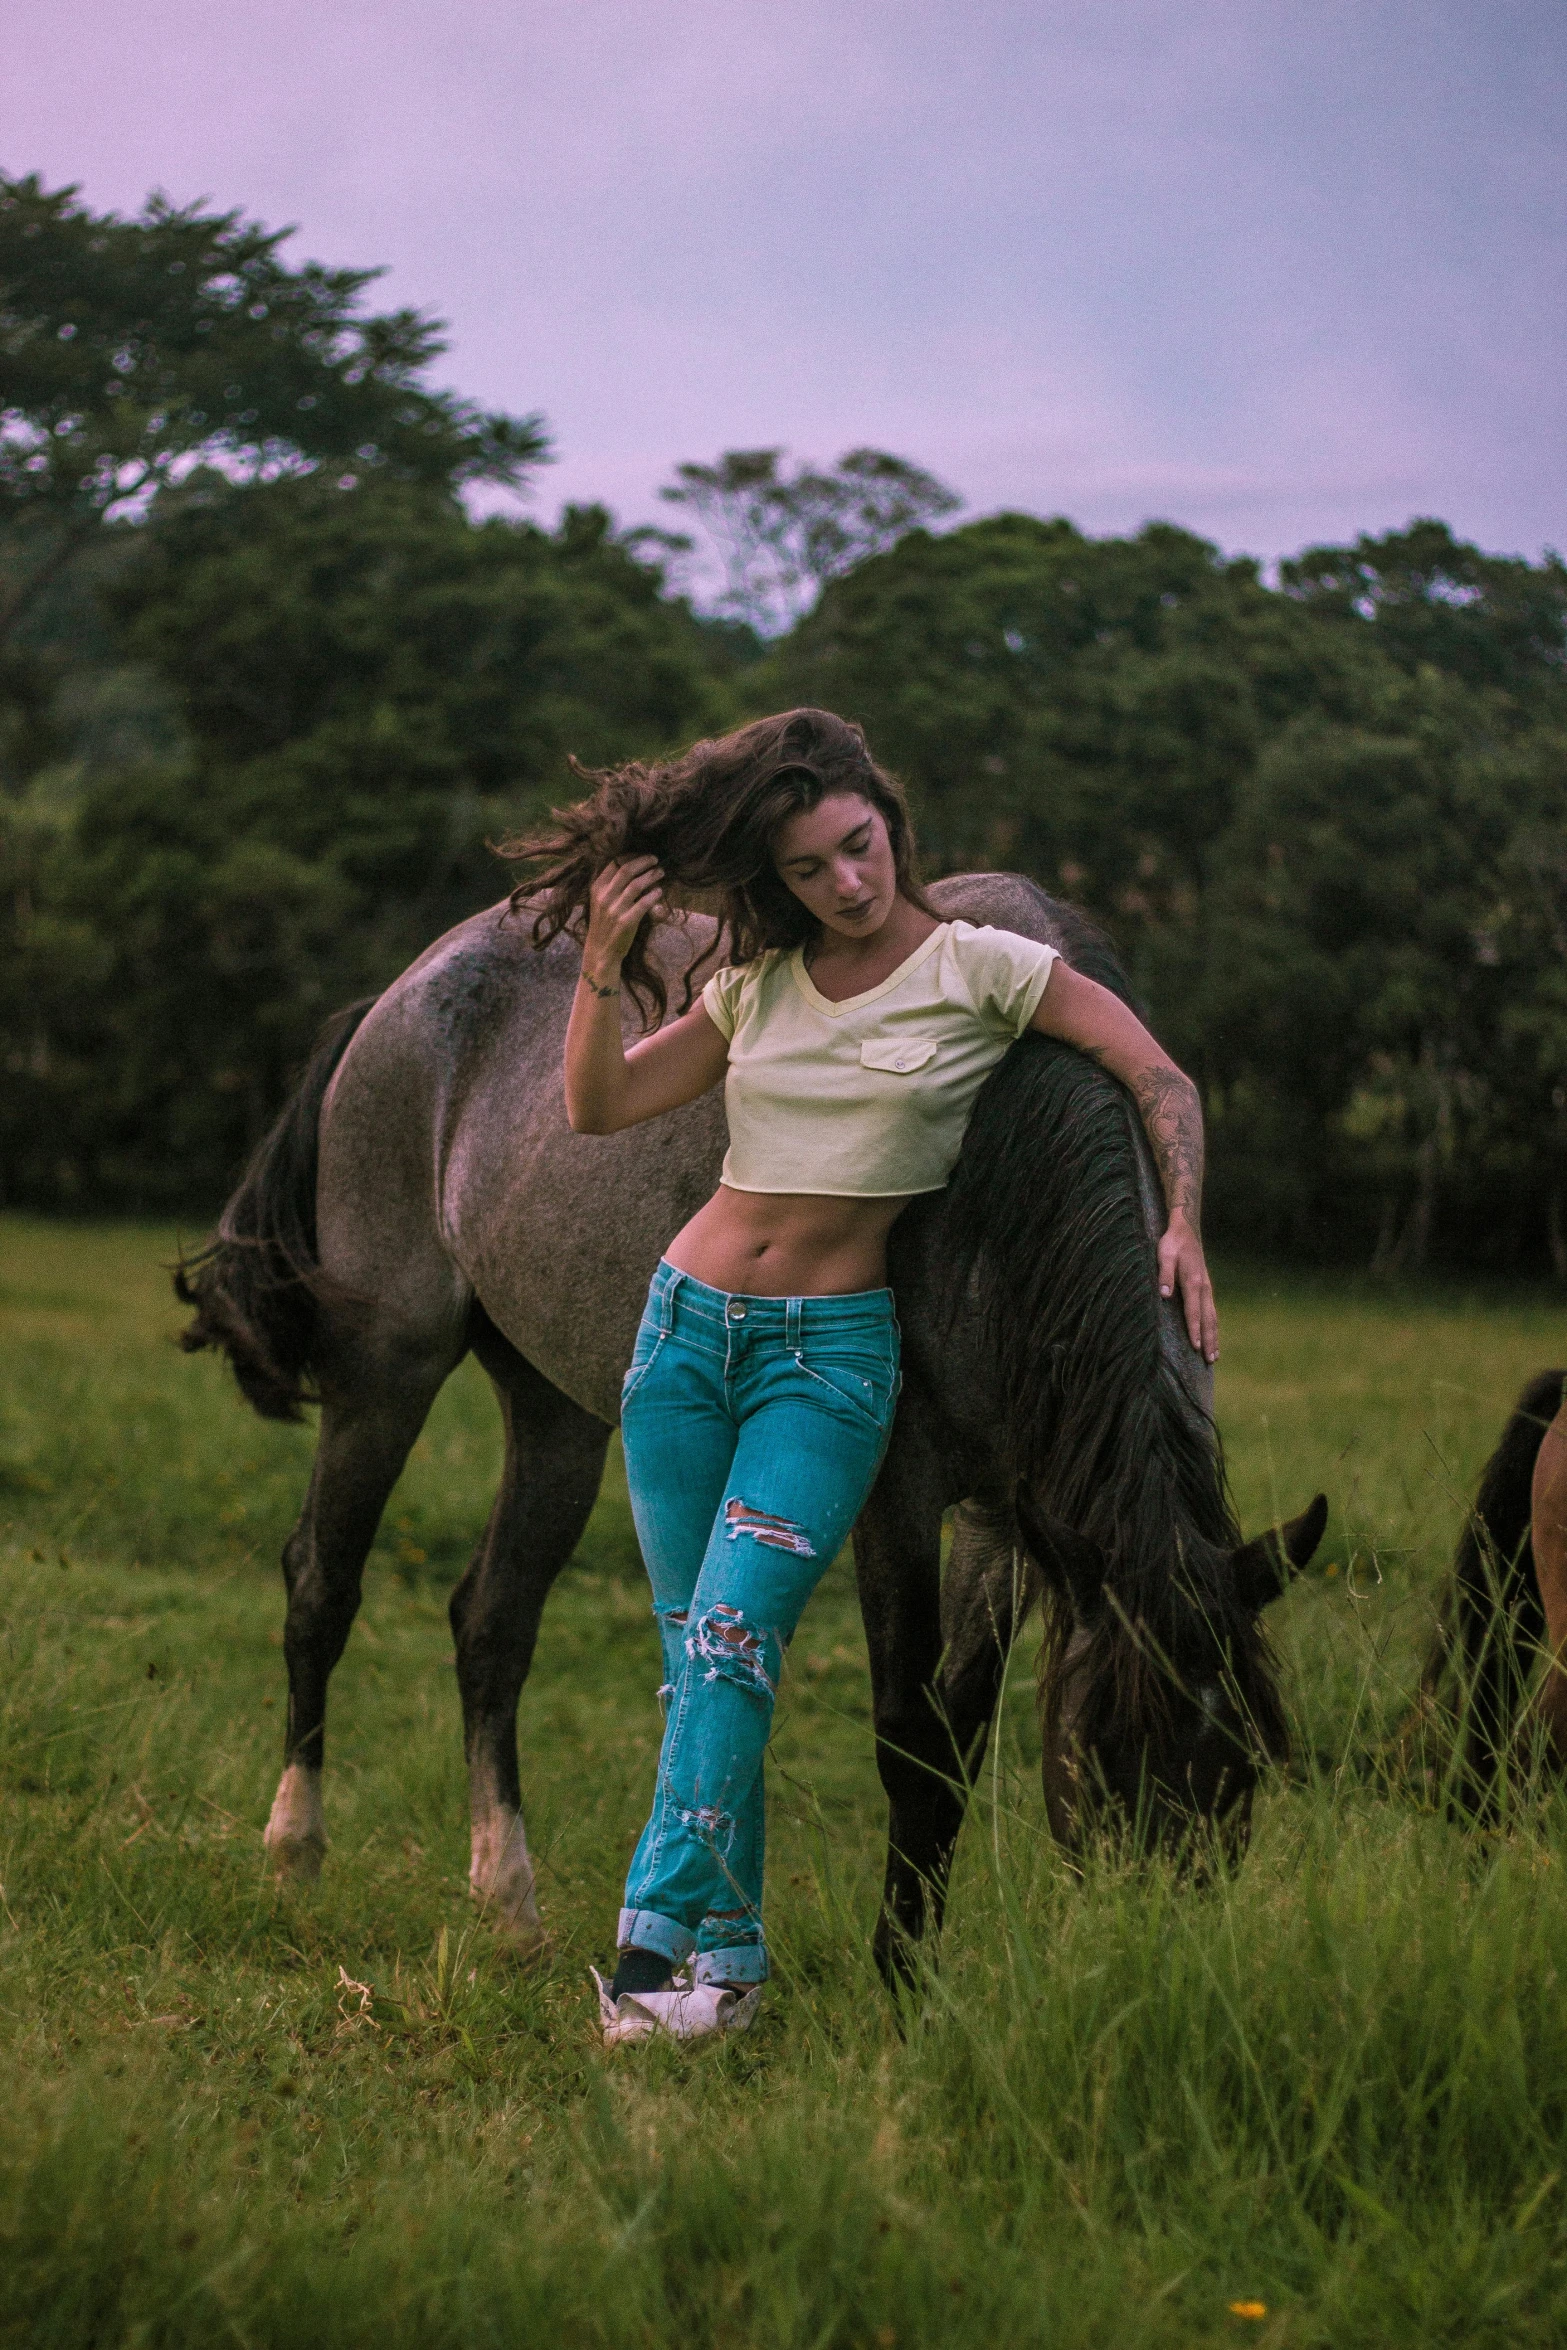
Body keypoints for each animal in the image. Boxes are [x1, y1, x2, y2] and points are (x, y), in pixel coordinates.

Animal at [180, 883, 1325, 1983]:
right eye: (1099, 1751)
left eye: (1245, 1762)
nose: (1165, 1950)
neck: (997, 1169)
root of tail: (399, 996)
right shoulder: (895, 1495)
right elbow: (909, 1735)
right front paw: (899, 1976)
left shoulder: (1005, 1514)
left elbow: (959, 1729)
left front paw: (920, 1956)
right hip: (387, 1375)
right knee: (322, 1585)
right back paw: (295, 1859)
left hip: (558, 1414)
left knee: (492, 1625)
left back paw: (510, 1907)